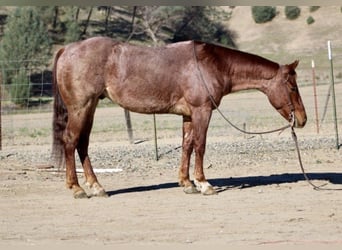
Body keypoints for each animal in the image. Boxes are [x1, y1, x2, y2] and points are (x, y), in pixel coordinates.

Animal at [51, 36, 308, 199]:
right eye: (292, 86)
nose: (303, 119)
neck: (210, 64)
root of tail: (66, 49)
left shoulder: (188, 115)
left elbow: (187, 145)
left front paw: (187, 183)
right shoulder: (202, 111)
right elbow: (200, 145)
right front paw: (204, 183)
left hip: (90, 108)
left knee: (82, 144)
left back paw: (97, 187)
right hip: (81, 107)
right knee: (71, 141)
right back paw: (77, 188)